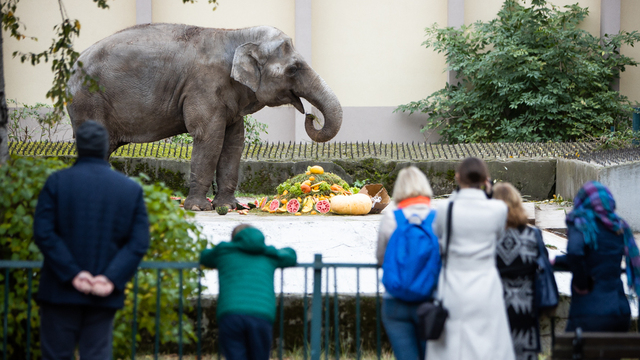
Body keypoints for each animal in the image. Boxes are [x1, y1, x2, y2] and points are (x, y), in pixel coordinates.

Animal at [67, 23, 342, 211]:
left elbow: (234, 143)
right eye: (294, 69)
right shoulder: (203, 87)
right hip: (87, 101)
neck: (236, 35)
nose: (311, 115)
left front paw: (230, 207)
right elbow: (209, 138)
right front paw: (199, 208)